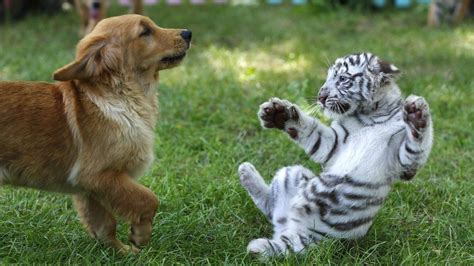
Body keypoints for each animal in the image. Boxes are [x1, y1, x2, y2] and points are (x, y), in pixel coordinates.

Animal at [0, 14, 193, 254]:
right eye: (145, 31)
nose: (188, 33)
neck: (122, 95)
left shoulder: (90, 189)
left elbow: (104, 225)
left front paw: (121, 252)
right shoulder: (97, 175)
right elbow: (148, 198)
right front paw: (140, 235)